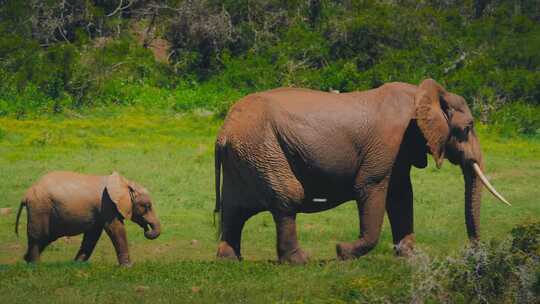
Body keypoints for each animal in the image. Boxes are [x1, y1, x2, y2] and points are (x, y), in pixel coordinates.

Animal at [15, 171, 160, 266]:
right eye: (147, 206)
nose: (147, 230)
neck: (125, 183)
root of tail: (26, 195)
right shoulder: (107, 204)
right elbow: (115, 229)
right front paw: (128, 267)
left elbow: (92, 235)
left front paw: (77, 265)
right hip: (40, 208)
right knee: (38, 237)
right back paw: (35, 265)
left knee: (45, 238)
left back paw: (27, 260)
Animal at [213, 78, 508, 264]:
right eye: (468, 127)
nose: (473, 251)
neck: (422, 94)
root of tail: (223, 132)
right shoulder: (389, 141)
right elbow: (372, 187)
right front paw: (343, 252)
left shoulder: (401, 148)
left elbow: (401, 194)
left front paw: (409, 257)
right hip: (263, 148)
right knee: (288, 197)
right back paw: (300, 261)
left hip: (247, 155)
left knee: (234, 208)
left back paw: (231, 259)